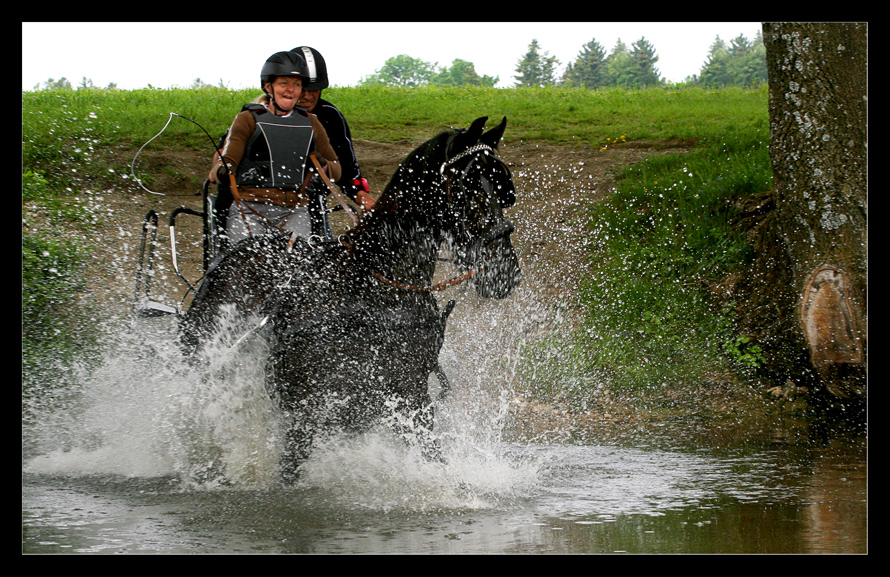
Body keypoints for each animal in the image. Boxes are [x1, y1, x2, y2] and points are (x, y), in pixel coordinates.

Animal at [177, 115, 516, 480]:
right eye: (469, 186)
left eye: (502, 191)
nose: (506, 271)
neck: (374, 291)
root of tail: (240, 249)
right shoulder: (306, 410)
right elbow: (289, 471)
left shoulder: (409, 396)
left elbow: (433, 456)